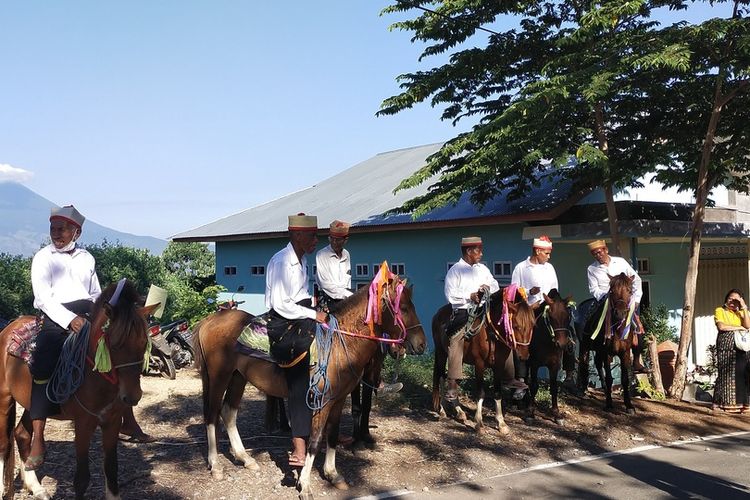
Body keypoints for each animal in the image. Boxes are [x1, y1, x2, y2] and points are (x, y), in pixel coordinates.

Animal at [0, 282, 154, 500]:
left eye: (144, 344)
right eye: (115, 344)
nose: (132, 396)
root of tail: (8, 329)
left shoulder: (112, 422)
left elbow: (111, 468)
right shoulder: (83, 424)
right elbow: (81, 478)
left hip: (29, 402)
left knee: (22, 434)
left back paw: (36, 487)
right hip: (4, 398)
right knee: (4, 444)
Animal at [194, 276, 428, 498]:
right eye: (403, 308)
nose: (421, 344)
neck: (340, 342)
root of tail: (210, 320)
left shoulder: (338, 399)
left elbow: (332, 436)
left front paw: (333, 474)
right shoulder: (321, 402)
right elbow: (315, 440)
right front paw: (305, 484)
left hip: (238, 377)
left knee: (228, 413)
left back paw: (245, 458)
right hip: (219, 376)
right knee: (212, 415)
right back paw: (216, 465)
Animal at [432, 288, 536, 436]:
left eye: (533, 325)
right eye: (516, 326)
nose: (524, 355)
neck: (491, 334)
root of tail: (438, 314)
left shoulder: (499, 365)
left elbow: (497, 393)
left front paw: (501, 423)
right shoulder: (479, 364)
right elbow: (481, 393)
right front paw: (479, 423)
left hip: (459, 359)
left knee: (454, 379)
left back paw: (459, 412)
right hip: (442, 352)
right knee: (441, 376)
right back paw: (442, 410)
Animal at [524, 292, 576, 424]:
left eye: (568, 316)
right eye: (551, 317)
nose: (561, 344)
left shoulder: (554, 365)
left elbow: (554, 387)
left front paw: (556, 414)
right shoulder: (534, 364)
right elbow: (534, 386)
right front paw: (530, 412)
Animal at [580, 274, 636, 414]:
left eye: (630, 291)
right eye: (611, 291)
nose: (620, 313)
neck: (617, 329)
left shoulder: (625, 353)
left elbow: (625, 379)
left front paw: (629, 405)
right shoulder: (606, 352)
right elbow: (609, 378)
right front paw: (609, 404)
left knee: (597, 365)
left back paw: (605, 391)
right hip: (585, 346)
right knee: (584, 365)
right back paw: (583, 391)